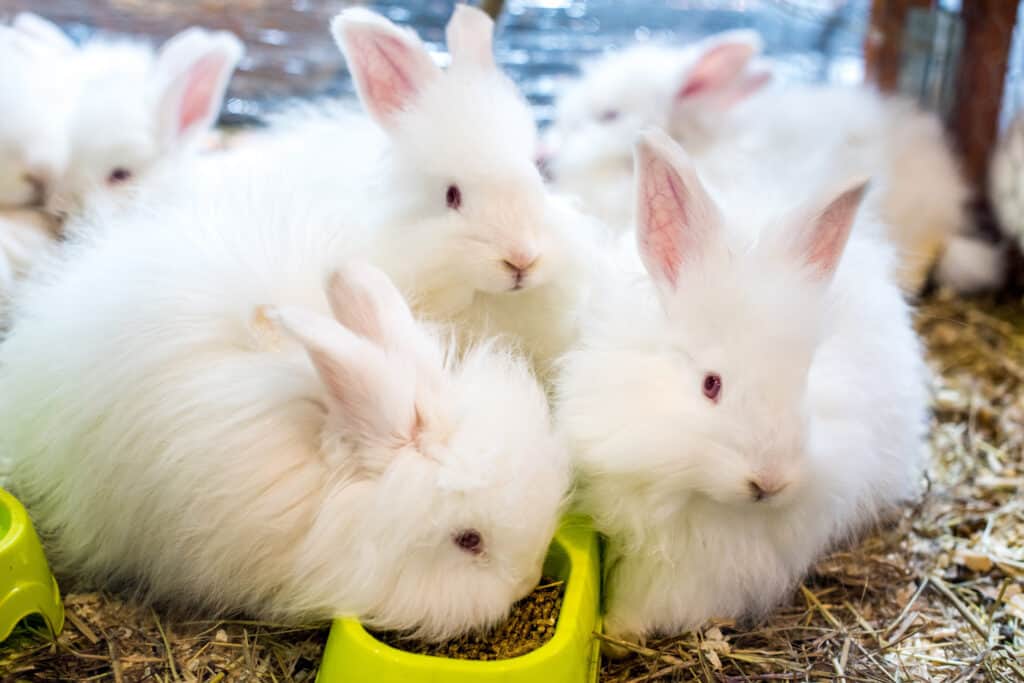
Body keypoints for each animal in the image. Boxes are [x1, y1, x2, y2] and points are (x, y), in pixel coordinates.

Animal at [557, 132, 933, 647]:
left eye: (805, 377)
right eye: (710, 384)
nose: (769, 482)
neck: (706, 500)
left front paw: (625, 628)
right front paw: (618, 629)